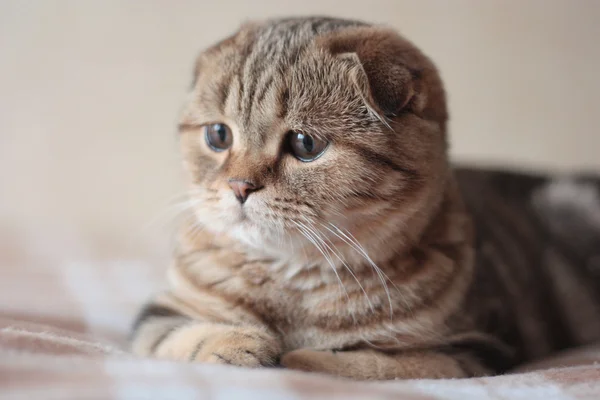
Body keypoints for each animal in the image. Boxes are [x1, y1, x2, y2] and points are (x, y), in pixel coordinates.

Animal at [130, 15, 600, 378]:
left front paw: (301, 356)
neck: (292, 281)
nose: (239, 186)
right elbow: (178, 334)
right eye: (218, 135)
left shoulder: (474, 348)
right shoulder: (162, 310)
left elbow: (376, 364)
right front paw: (243, 343)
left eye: (305, 144)